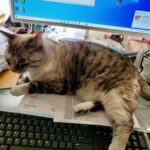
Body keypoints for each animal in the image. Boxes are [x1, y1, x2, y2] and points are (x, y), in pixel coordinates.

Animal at [0, 28, 150, 150]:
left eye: (22, 61)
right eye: (8, 60)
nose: (13, 70)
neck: (36, 69)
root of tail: (135, 69)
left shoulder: (56, 84)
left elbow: (32, 85)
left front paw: (15, 90)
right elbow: (27, 80)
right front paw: (20, 81)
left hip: (115, 97)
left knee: (127, 123)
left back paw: (115, 147)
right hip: (108, 96)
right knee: (100, 104)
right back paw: (81, 108)